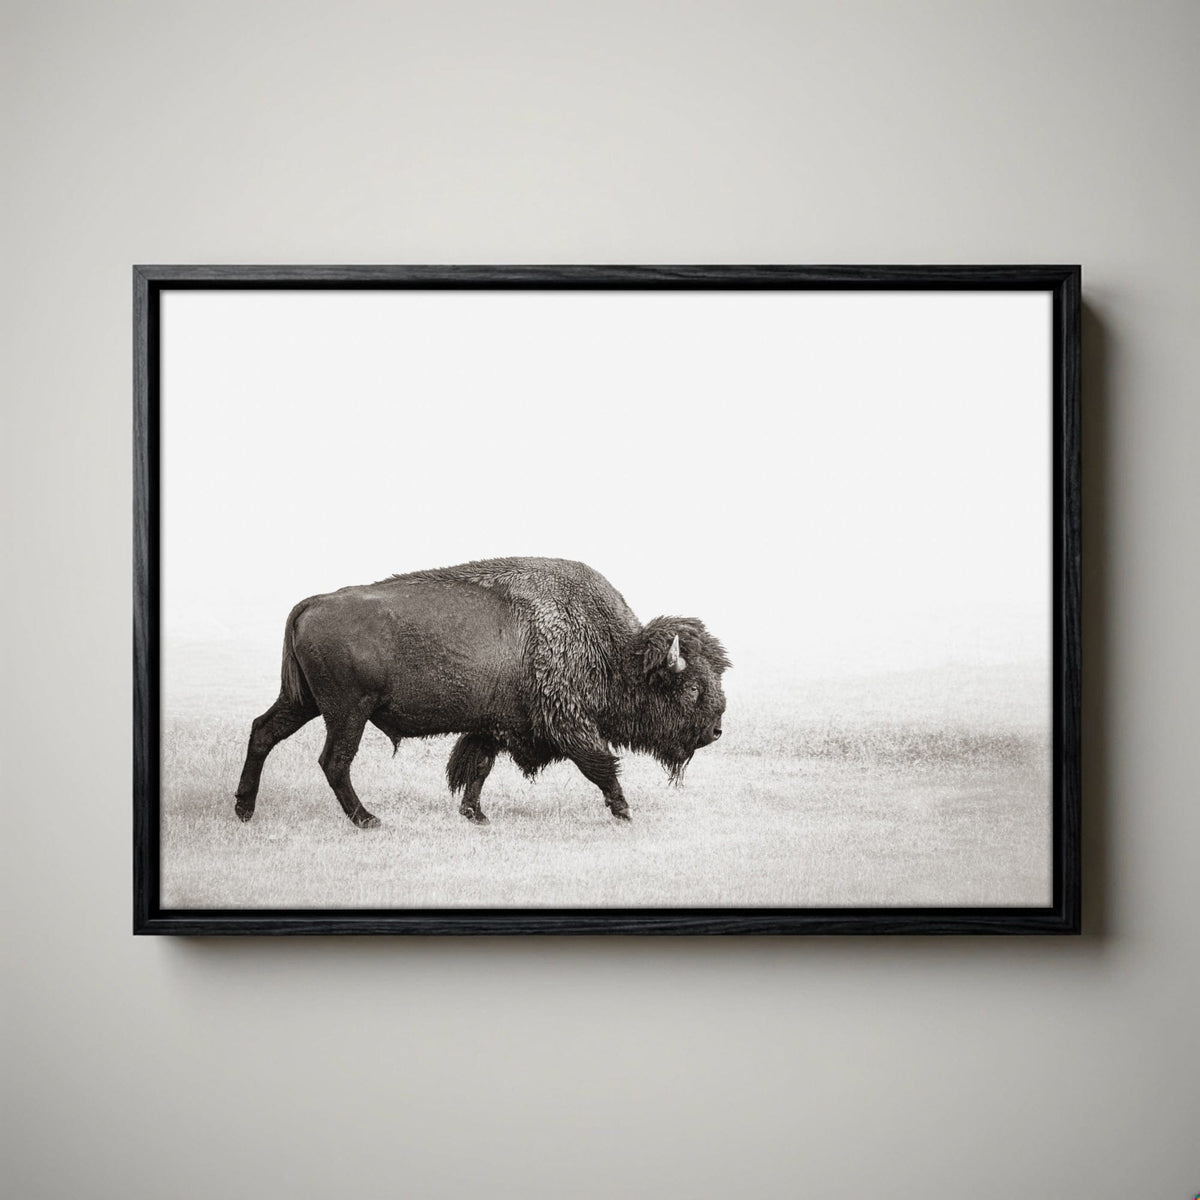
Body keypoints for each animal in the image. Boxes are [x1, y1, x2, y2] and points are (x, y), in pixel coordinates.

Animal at [234, 557, 730, 827]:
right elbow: (601, 765)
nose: (715, 731)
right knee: (334, 761)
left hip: (303, 701)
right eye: (690, 687)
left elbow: (476, 768)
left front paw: (475, 815)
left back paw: (244, 809)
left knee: (263, 732)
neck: (611, 648)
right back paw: (368, 821)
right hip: (347, 711)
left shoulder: (492, 726)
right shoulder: (570, 723)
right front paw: (625, 812)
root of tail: (312, 602)